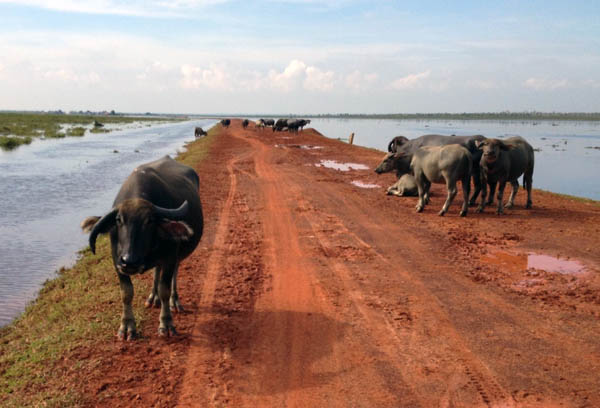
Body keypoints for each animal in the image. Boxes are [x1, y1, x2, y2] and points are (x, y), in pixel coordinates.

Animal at [79, 156, 204, 342]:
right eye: (118, 219)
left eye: (149, 221)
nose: (129, 261)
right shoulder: (117, 261)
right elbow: (126, 293)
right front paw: (127, 326)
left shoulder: (170, 257)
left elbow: (165, 288)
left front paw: (166, 324)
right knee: (156, 271)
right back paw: (153, 297)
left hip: (177, 255)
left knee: (174, 274)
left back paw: (174, 301)